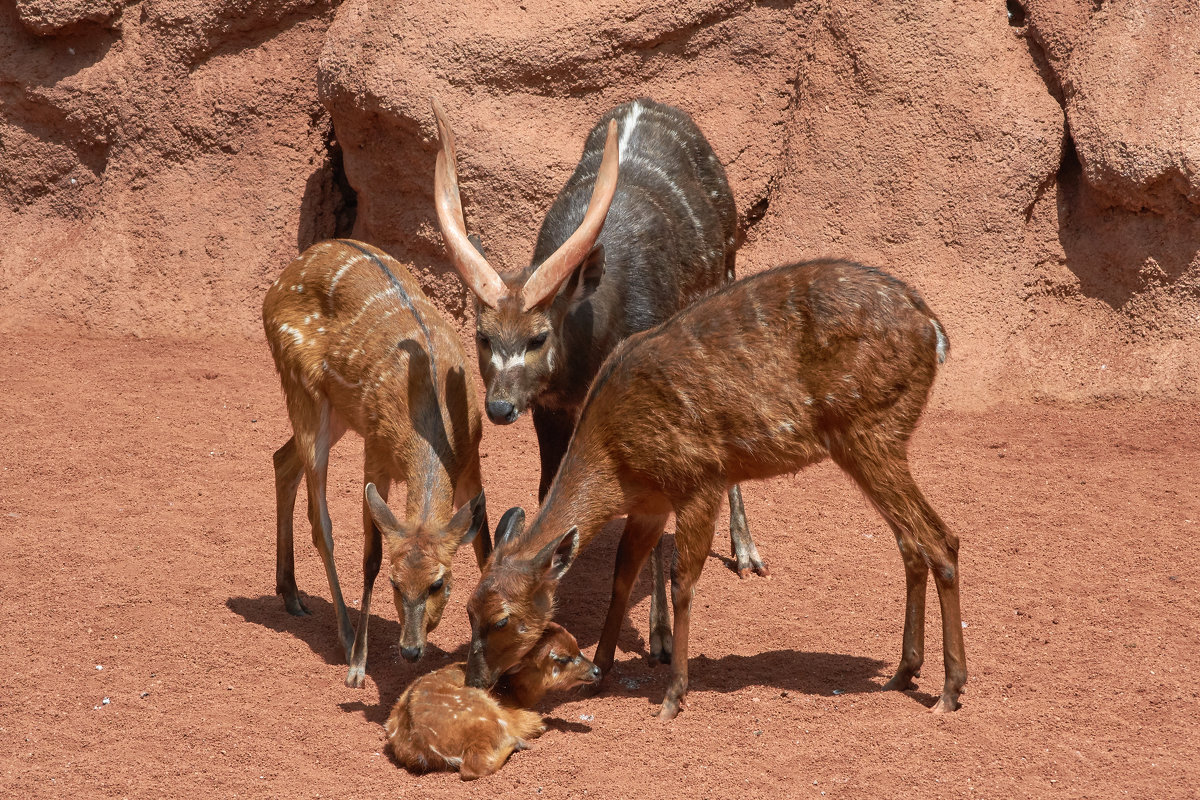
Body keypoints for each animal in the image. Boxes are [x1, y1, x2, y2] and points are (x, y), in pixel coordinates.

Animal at [261, 237, 487, 690]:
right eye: (395, 585)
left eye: (439, 583)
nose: (410, 650)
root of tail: (271, 291)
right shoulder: (376, 456)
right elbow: (371, 557)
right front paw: (359, 667)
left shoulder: (472, 462)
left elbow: (485, 547)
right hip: (304, 391)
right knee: (320, 520)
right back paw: (345, 636)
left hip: (336, 414)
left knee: (282, 459)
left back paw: (291, 594)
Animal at [384, 618, 600, 782]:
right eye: (562, 658)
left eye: (578, 646)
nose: (597, 670)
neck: (513, 693)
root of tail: (425, 747)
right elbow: (539, 721)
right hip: (487, 720)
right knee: (473, 767)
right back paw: (520, 743)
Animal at [434, 97, 768, 662]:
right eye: (483, 335)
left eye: (538, 337)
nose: (499, 407)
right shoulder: (550, 412)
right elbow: (549, 493)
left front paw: (658, 637)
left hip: (722, 281)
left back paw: (746, 552)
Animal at [463, 261, 969, 719]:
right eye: (468, 611)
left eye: (501, 619)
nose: (475, 679)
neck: (615, 457)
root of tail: (935, 330)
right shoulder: (650, 503)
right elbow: (623, 574)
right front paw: (600, 672)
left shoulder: (699, 480)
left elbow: (682, 579)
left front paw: (672, 697)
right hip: (870, 443)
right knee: (910, 543)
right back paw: (903, 672)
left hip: (872, 432)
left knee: (941, 539)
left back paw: (949, 691)